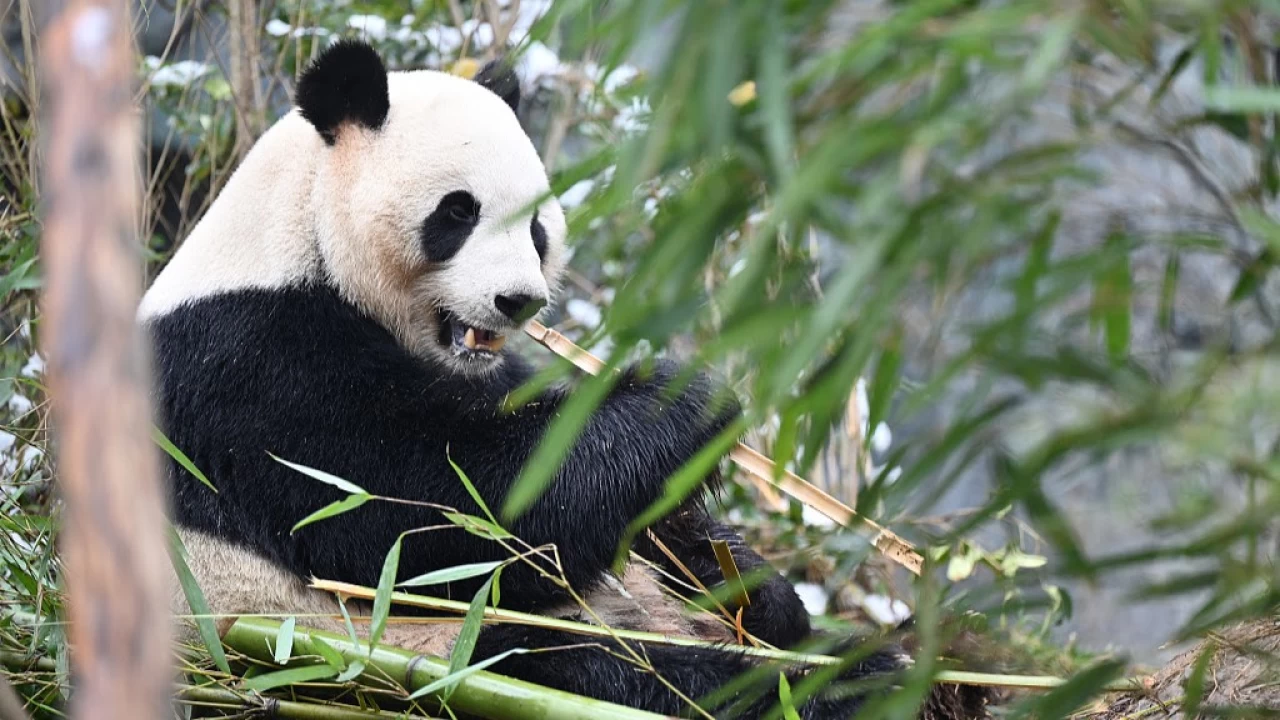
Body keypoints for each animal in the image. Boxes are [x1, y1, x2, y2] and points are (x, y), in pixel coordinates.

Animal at [141, 39, 988, 720]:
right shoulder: (252, 368)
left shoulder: (488, 370)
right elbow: (444, 512)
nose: (519, 301)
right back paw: (857, 684)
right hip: (374, 646)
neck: (298, 235)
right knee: (609, 674)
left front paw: (753, 579)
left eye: (539, 224)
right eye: (457, 213)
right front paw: (686, 401)